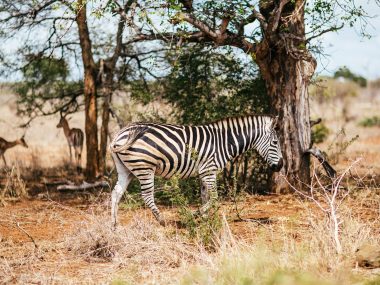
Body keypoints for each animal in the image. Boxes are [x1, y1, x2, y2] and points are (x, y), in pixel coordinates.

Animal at [108, 114, 284, 225]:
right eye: (275, 142)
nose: (281, 165)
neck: (224, 142)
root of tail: (120, 133)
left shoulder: (204, 173)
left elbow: (205, 197)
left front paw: (206, 219)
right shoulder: (209, 171)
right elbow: (214, 198)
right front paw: (194, 215)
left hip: (126, 170)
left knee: (116, 193)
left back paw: (114, 224)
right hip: (145, 167)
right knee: (146, 195)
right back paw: (162, 220)